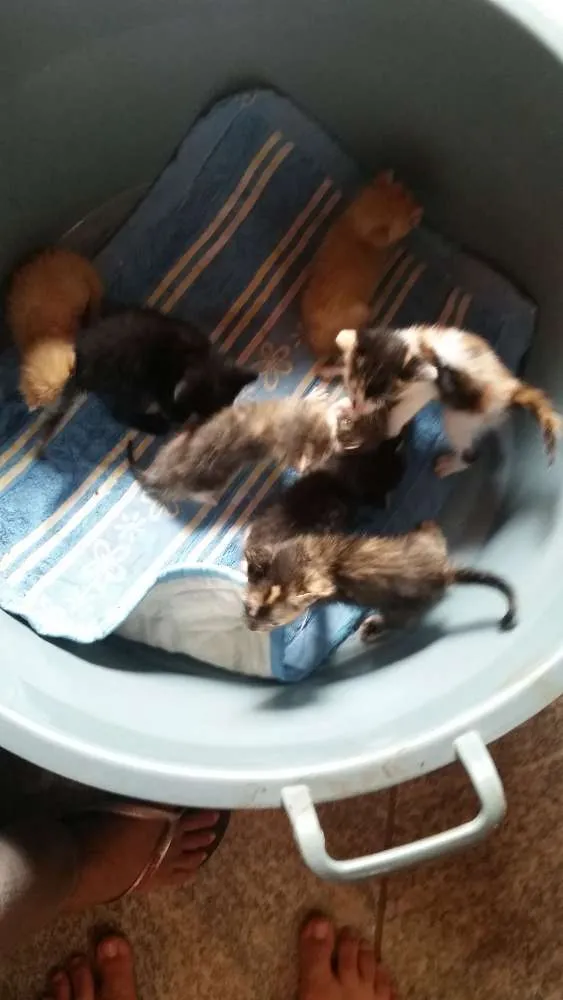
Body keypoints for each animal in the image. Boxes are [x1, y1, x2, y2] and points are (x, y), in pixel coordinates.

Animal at [39, 306, 257, 449]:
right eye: (192, 411)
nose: (182, 417)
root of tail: (80, 366)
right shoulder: (160, 366)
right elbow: (163, 391)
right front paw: (171, 413)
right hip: (129, 374)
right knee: (119, 412)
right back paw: (155, 425)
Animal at [244, 519, 517, 636]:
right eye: (249, 608)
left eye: (275, 623)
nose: (251, 628)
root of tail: (445, 572)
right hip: (428, 543)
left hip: (405, 605)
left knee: (400, 620)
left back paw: (373, 626)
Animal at [300, 171, 422, 372]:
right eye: (407, 220)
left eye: (405, 192)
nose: (420, 208)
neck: (357, 228)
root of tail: (318, 351)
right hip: (362, 312)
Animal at [335, 324, 561, 475]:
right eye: (352, 387)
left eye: (379, 395)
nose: (356, 404)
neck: (411, 348)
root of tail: (511, 388)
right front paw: (348, 407)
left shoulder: (426, 387)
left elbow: (401, 411)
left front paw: (388, 428)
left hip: (460, 418)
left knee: (470, 454)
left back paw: (450, 465)